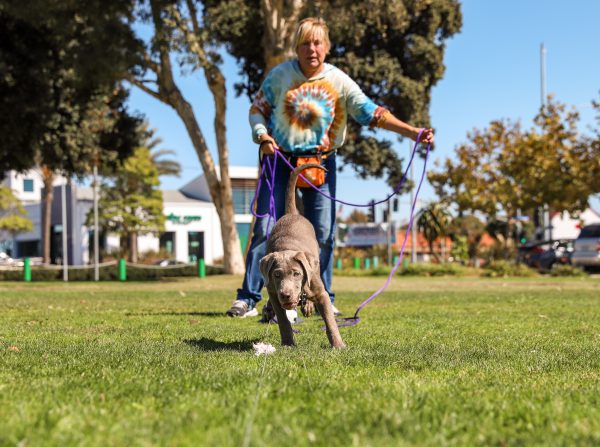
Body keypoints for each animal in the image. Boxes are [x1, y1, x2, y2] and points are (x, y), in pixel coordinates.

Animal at [258, 164, 346, 350]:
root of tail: (292, 214)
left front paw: (338, 344)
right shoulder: (273, 293)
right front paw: (288, 342)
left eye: (297, 274)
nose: (286, 294)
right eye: (276, 275)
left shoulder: (321, 293)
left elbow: (330, 321)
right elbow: (283, 321)